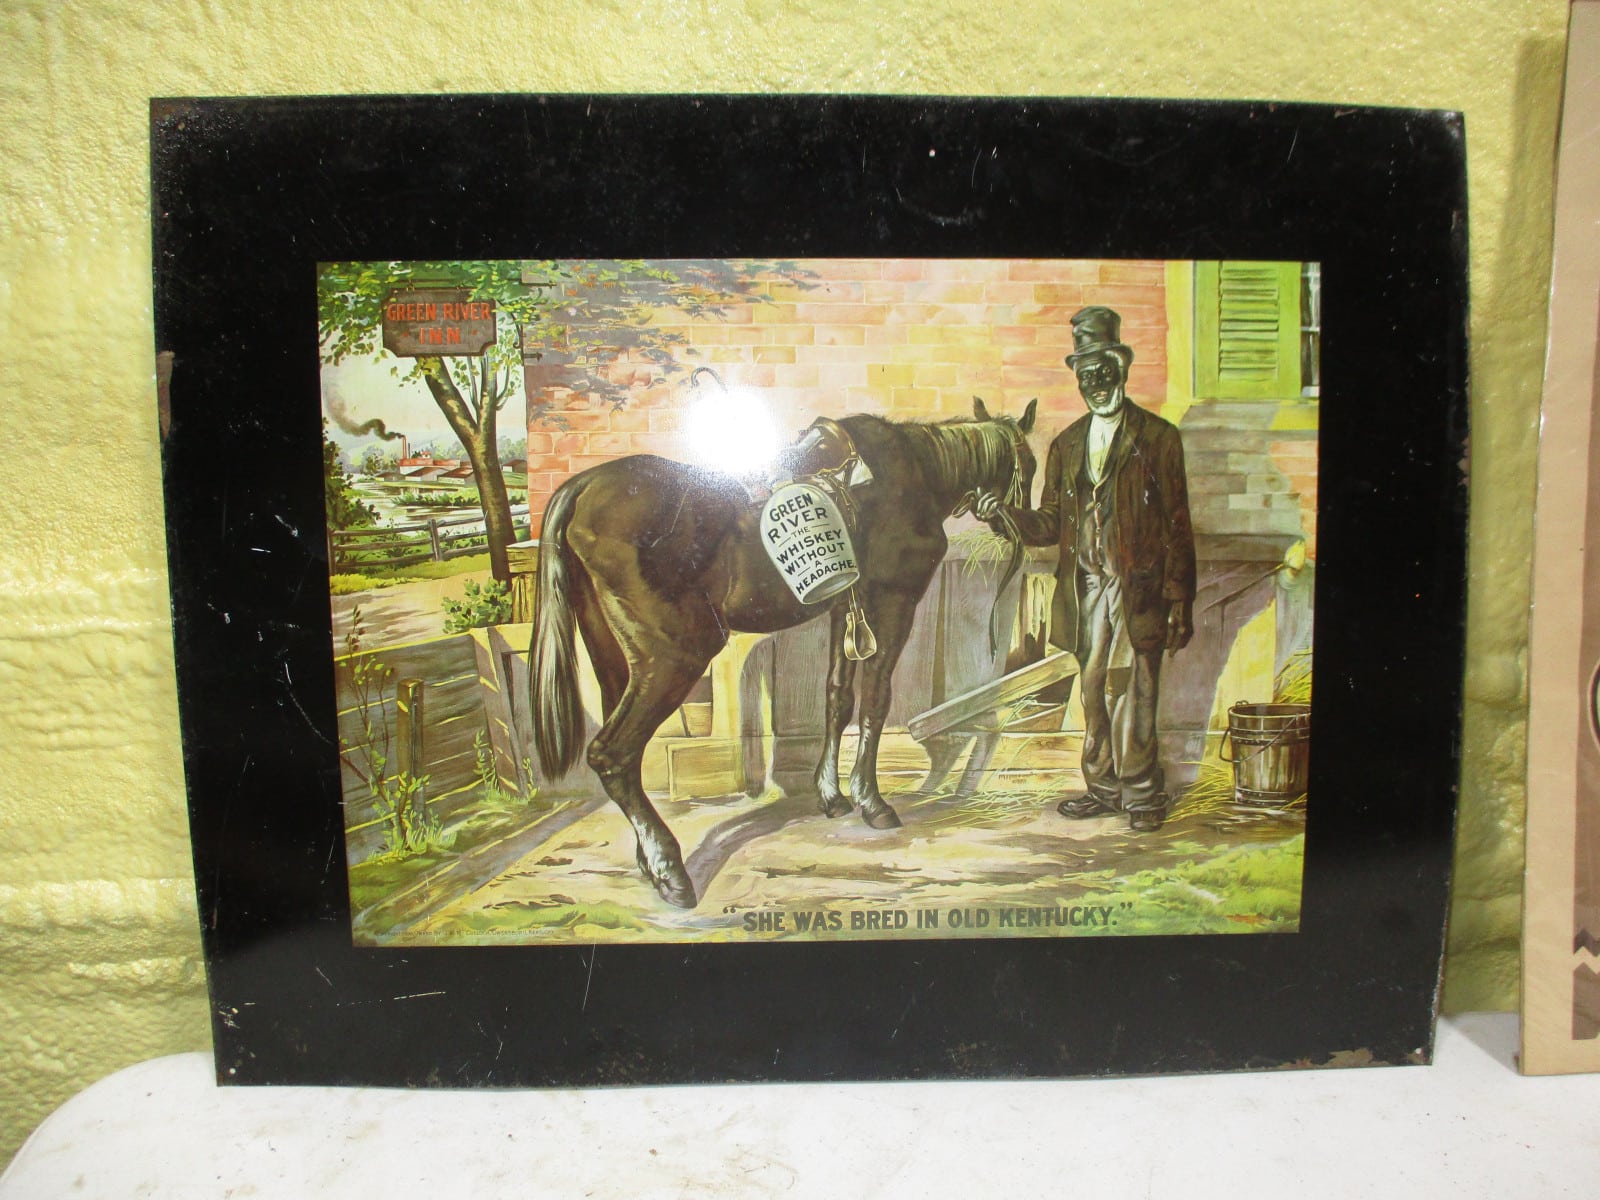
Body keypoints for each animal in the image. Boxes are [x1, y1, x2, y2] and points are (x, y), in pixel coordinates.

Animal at [530, 397, 1038, 908]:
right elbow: (875, 701)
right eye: (1030, 464)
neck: (916, 472)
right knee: (612, 754)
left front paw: (832, 795)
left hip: (616, 660)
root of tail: (580, 487)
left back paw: (647, 860)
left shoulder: (845, 608)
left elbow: (838, 699)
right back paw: (669, 869)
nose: (1025, 527)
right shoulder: (893, 603)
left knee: (627, 758)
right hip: (676, 657)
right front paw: (871, 800)